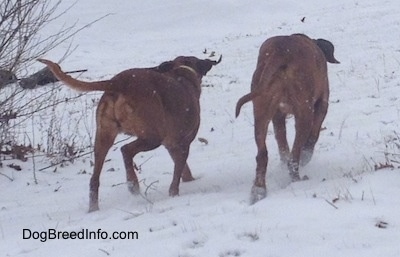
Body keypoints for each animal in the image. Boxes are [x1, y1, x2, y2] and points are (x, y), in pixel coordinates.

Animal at [38, 55, 220, 210]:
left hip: (103, 137)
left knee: (94, 178)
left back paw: (94, 208)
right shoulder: (183, 143)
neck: (182, 73)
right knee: (126, 150)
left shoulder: (172, 145)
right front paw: (174, 194)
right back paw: (133, 185)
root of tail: (117, 82)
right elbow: (178, 173)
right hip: (152, 136)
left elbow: (184, 171)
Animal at [236, 33, 340, 202]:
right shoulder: (322, 104)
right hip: (304, 113)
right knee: (294, 158)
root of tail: (281, 52)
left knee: (262, 155)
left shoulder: (277, 117)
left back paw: (258, 191)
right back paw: (297, 179)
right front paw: (307, 155)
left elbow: (282, 143)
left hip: (261, 111)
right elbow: (313, 136)